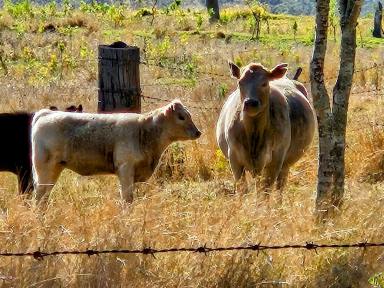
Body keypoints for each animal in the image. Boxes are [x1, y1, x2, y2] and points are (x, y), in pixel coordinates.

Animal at [30, 100, 201, 204]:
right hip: (45, 168)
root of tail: (47, 113)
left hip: (55, 168)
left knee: (44, 195)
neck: (145, 131)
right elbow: (127, 198)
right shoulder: (125, 168)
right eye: (181, 117)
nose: (198, 132)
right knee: (39, 195)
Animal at [216, 62, 316, 197]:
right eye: (240, 82)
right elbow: (243, 190)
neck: (253, 133)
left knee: (279, 187)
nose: (250, 102)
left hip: (285, 164)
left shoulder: (275, 160)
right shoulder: (234, 158)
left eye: (264, 83)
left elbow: (265, 192)